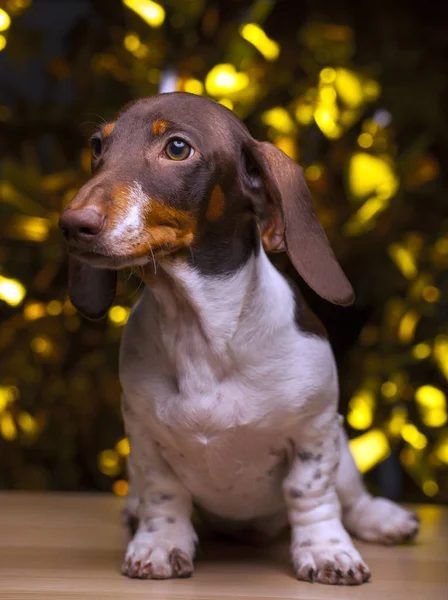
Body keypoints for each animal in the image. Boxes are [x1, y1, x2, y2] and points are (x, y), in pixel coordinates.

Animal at [59, 92, 420, 584]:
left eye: (177, 148)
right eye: (98, 145)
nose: (72, 224)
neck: (203, 334)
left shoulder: (314, 430)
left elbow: (310, 494)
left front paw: (326, 550)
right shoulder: (146, 440)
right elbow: (162, 493)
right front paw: (160, 544)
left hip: (342, 447)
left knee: (351, 497)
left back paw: (383, 519)